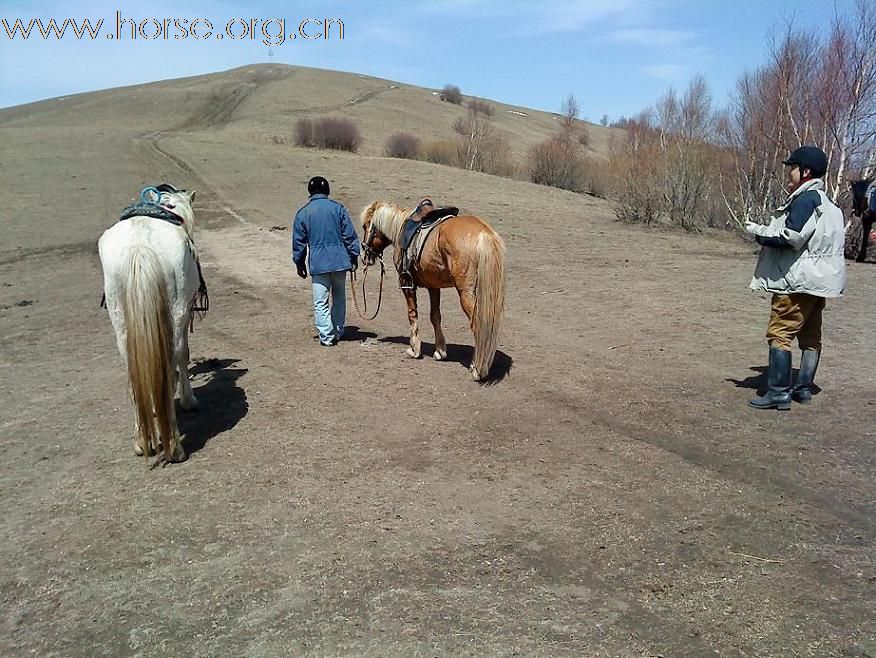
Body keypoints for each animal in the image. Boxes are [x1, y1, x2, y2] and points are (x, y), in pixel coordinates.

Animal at [98, 186, 201, 462]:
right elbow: (184, 355)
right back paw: (173, 444)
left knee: (134, 371)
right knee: (172, 357)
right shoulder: (186, 311)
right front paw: (188, 400)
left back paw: (142, 440)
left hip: (120, 318)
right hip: (177, 311)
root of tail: (140, 246)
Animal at [358, 202, 506, 382]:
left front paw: (414, 350)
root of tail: (484, 233)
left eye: (366, 226)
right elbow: (435, 316)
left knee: (478, 325)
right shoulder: (433, 286)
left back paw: (477, 369)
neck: (400, 227)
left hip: (466, 293)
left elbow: (412, 314)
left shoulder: (407, 283)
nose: (365, 256)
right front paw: (440, 351)